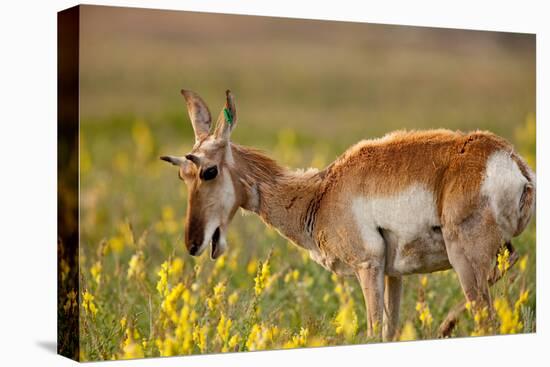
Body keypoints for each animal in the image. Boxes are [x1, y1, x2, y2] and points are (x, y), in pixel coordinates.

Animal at [162, 89, 536, 342]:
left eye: (209, 171)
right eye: (182, 174)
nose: (192, 244)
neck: (322, 192)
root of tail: (508, 158)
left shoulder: (367, 267)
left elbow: (372, 332)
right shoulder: (393, 276)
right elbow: (388, 332)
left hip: (464, 259)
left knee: (486, 318)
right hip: (492, 254)